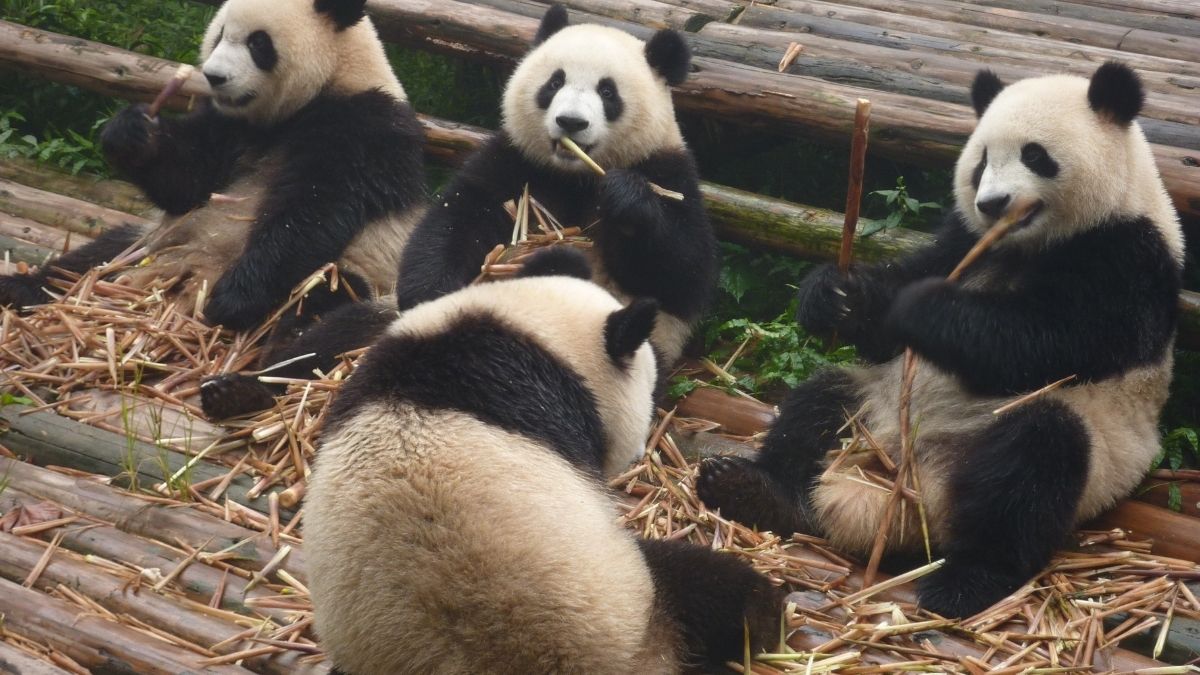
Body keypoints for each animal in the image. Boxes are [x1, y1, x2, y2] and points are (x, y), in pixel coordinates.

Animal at [0, 0, 426, 335]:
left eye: (258, 42)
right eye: (220, 35)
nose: (214, 77)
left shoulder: (364, 129)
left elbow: (312, 212)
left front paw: (232, 299)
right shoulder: (228, 127)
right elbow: (188, 182)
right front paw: (132, 133)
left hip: (365, 273)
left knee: (323, 302)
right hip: (150, 240)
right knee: (94, 256)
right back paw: (21, 288)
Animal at [392, 4, 717, 368]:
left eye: (608, 92)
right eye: (555, 82)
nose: (571, 122)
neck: (574, 175)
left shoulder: (669, 171)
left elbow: (682, 272)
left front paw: (625, 197)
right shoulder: (516, 162)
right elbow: (458, 217)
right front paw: (430, 294)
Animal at [696, 62, 1183, 618]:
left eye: (1035, 155)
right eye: (981, 161)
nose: (992, 203)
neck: (1023, 244)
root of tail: (907, 491)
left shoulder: (1127, 258)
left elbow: (1046, 343)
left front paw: (921, 309)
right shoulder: (962, 238)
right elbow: (897, 310)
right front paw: (836, 295)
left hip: (1088, 454)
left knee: (1033, 462)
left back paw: (966, 583)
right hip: (872, 408)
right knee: (819, 403)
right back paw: (751, 489)